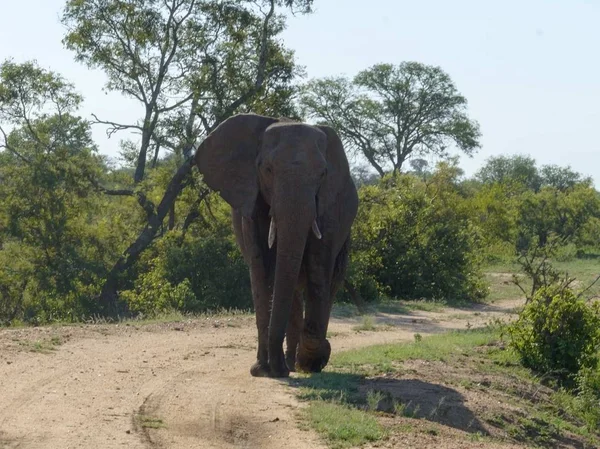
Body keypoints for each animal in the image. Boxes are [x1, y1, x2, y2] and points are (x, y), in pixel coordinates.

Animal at [195, 111, 358, 374]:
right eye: (268, 169)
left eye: (322, 174)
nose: (274, 369)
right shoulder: (251, 202)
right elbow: (261, 269)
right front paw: (262, 371)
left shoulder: (331, 206)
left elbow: (318, 267)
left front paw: (312, 359)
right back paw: (289, 364)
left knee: (328, 282)